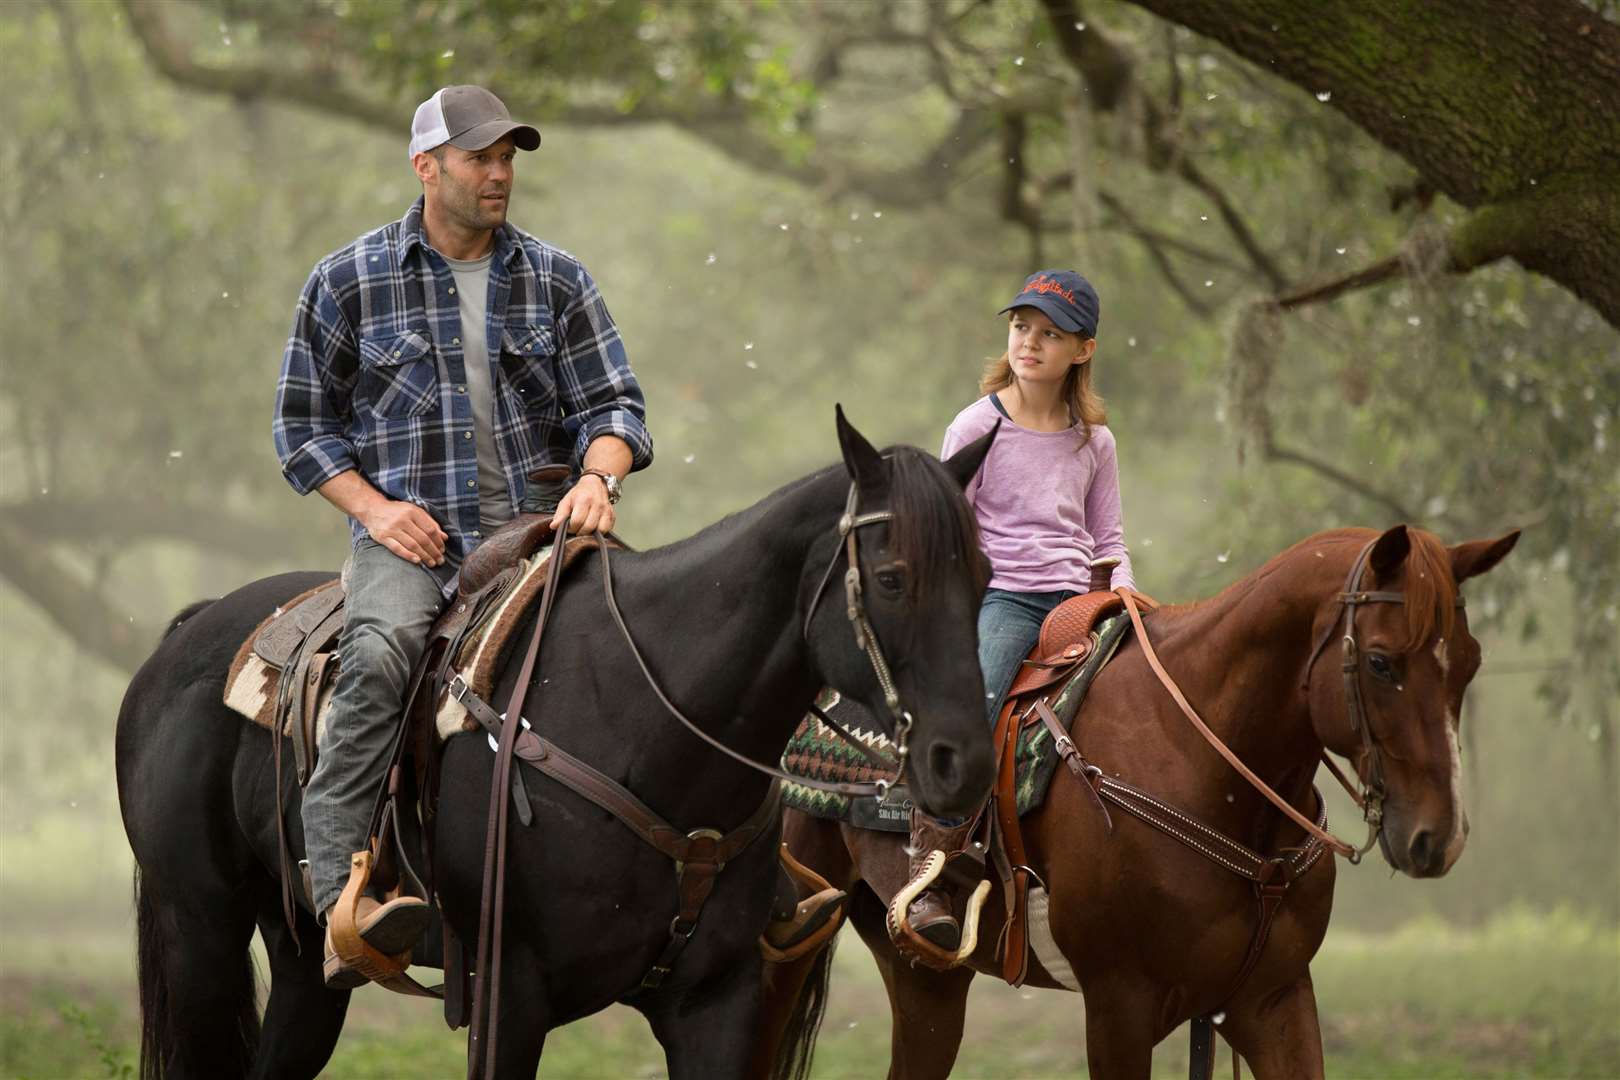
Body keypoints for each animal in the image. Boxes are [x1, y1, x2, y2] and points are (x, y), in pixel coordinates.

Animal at [117, 409, 997, 1075]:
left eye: (986, 576)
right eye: (892, 578)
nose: (964, 763)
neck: (642, 727)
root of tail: (186, 632)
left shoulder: (717, 1003)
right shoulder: (507, 997)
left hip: (302, 961)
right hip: (201, 931)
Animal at [758, 524, 1516, 1080]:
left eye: (1472, 660)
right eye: (1383, 663)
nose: (1438, 837)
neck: (1200, 761)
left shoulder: (1272, 998)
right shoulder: (1119, 1004)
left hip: (928, 980)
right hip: (791, 937)